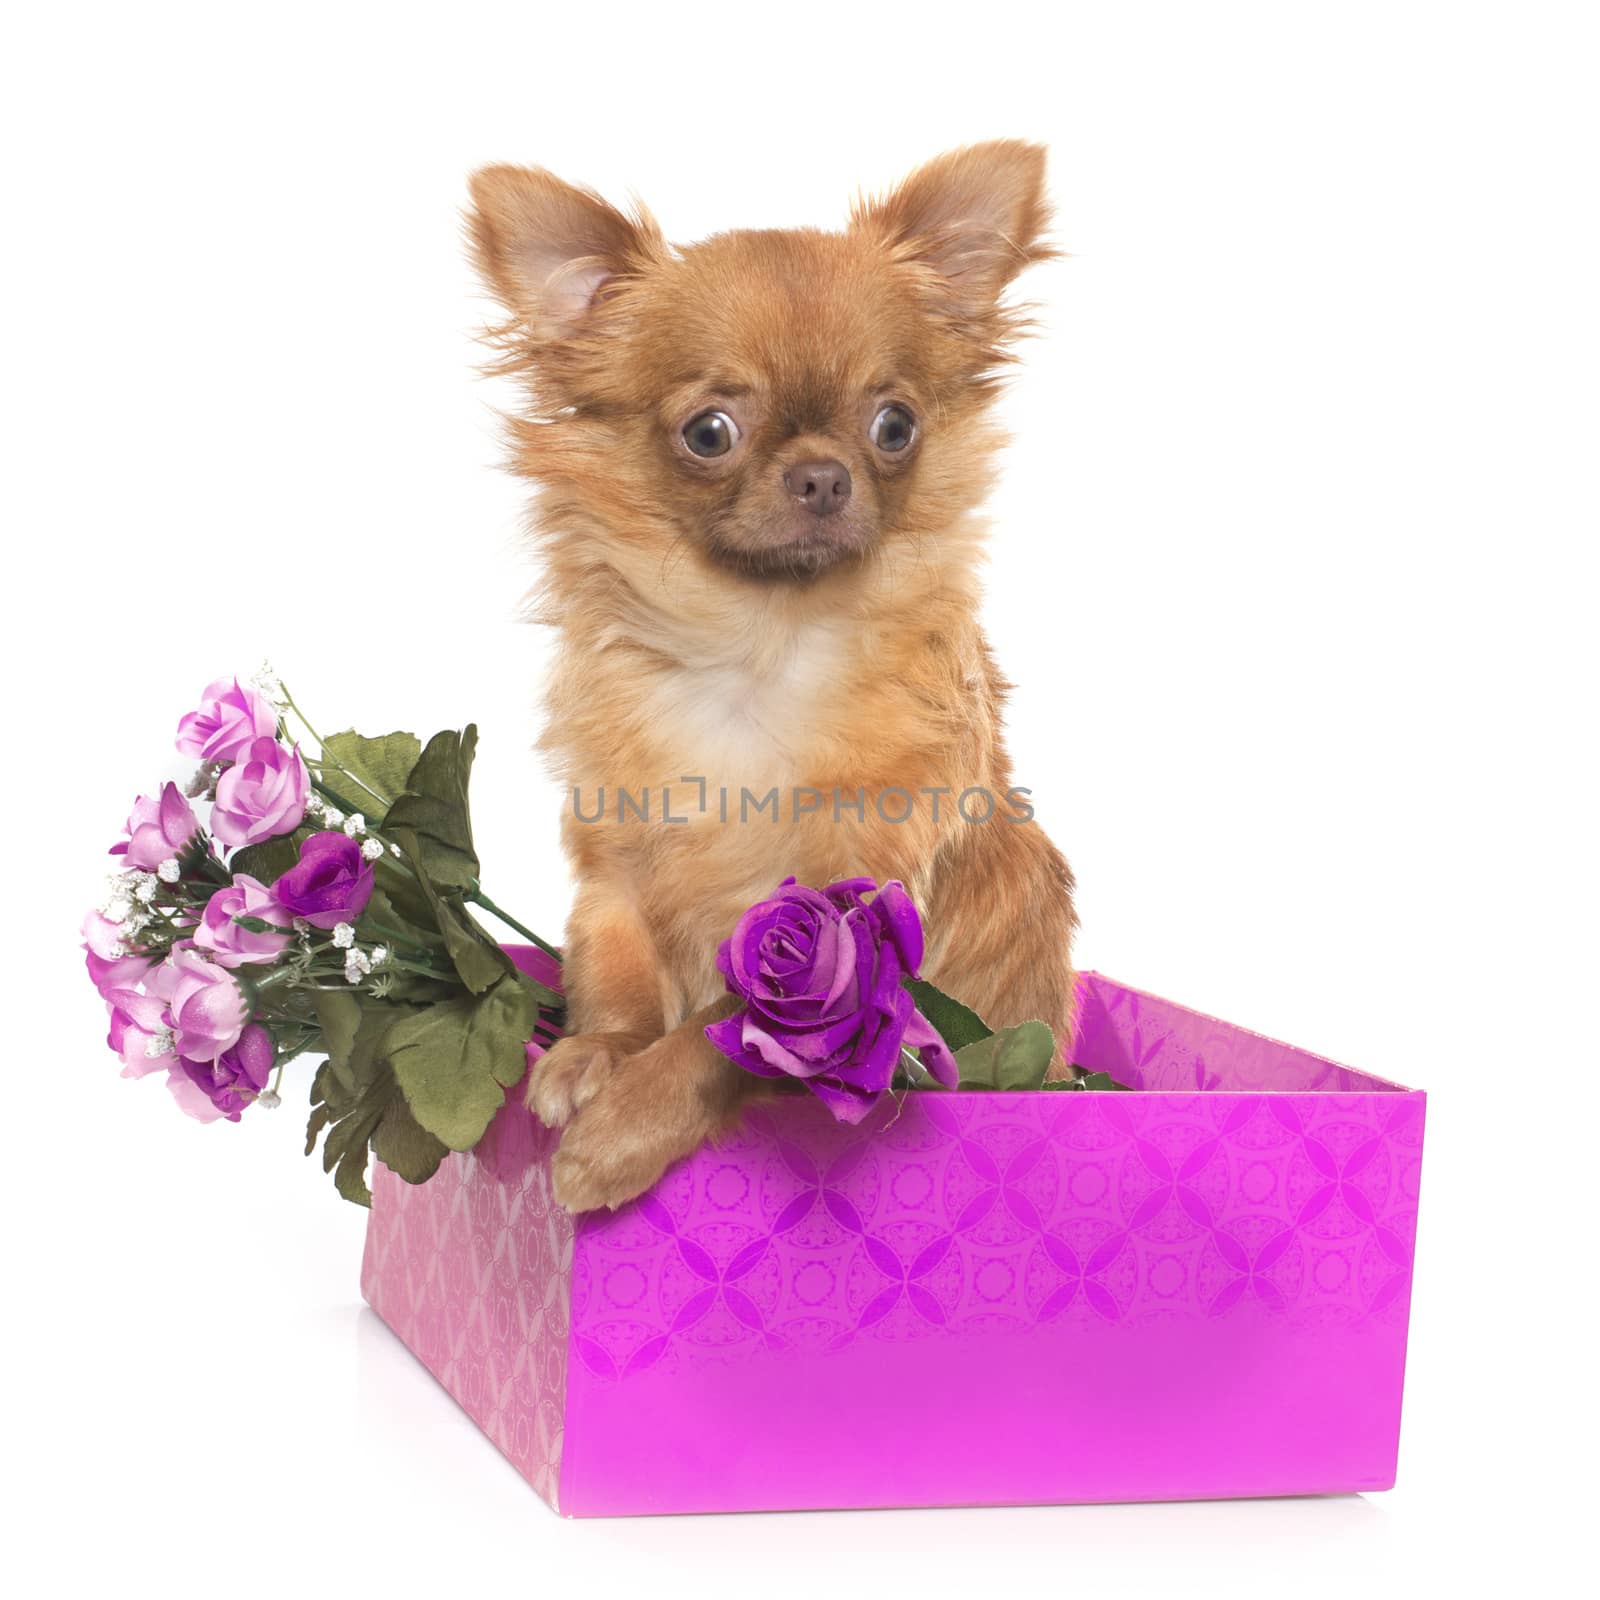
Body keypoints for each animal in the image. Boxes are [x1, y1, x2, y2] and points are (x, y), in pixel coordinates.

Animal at [467, 144, 1081, 1209]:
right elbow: (615, 972)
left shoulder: (846, 931)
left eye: (894, 425)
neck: (761, 645)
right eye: (709, 432)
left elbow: (720, 1038)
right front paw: (596, 1054)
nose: (822, 475)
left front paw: (620, 1133)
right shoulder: (614, 870)